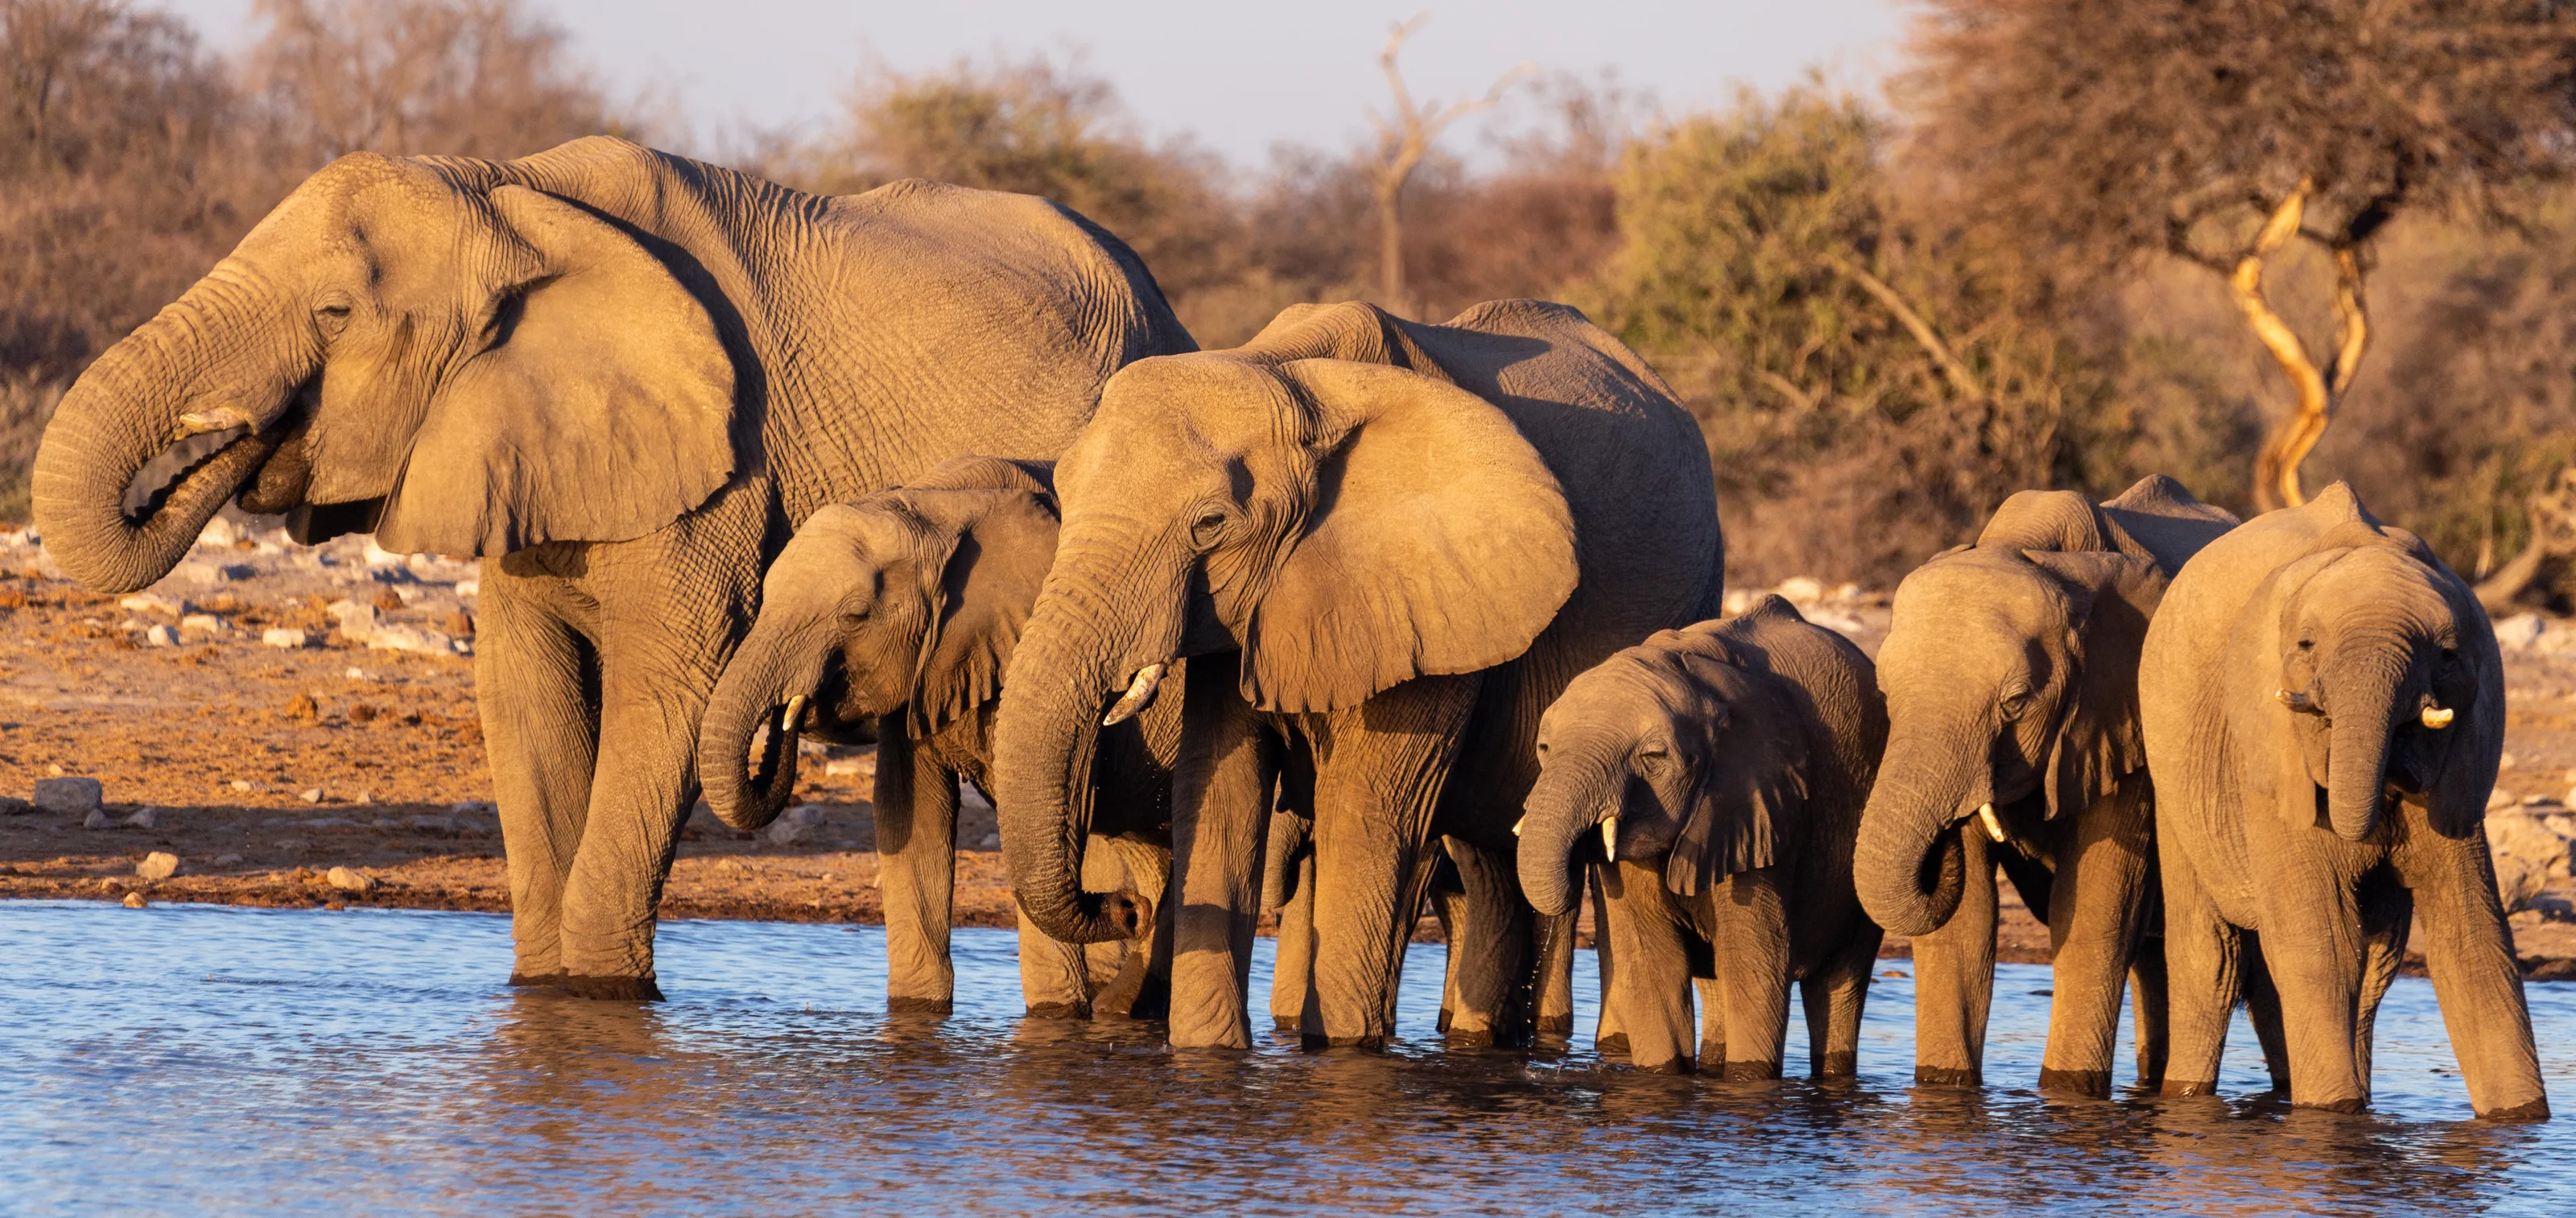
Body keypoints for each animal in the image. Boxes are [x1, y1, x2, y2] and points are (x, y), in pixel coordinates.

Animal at [695, 455, 1180, 1019]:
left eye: (856, 615)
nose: (1129, 910)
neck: (936, 507)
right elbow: (909, 815)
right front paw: (915, 1015)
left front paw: (1055, 1020)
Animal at [991, 299, 1724, 1050]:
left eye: (1211, 523)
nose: (1125, 907)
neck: (1292, 378)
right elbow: (1219, 796)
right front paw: (1207, 1053)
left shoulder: (1432, 598)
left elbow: (1365, 817)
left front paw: (1340, 1051)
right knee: (1491, 866)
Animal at [1516, 597, 1887, 1078]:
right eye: (1544, 748)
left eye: (1654, 756)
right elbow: (1654, 966)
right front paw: (1664, 1078)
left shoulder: (1764, 806)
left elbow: (1756, 965)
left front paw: (1747, 1083)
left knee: (1839, 983)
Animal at [1855, 474, 2237, 1097]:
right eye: (1885, 693)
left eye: (2015, 703)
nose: (1940, 846)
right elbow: (1965, 927)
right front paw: (1943, 1090)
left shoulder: (2126, 717)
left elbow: (2093, 913)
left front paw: (2067, 1092)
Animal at [2139, 482, 2549, 1119]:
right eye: (2306, 645)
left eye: (2448, 655)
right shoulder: (2268, 754)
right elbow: (2322, 943)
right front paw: (2331, 1115)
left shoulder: (2460, 771)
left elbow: (2475, 944)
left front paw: (2523, 1121)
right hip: (2174, 783)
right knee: (2212, 961)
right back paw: (2189, 1097)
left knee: (2375, 965)